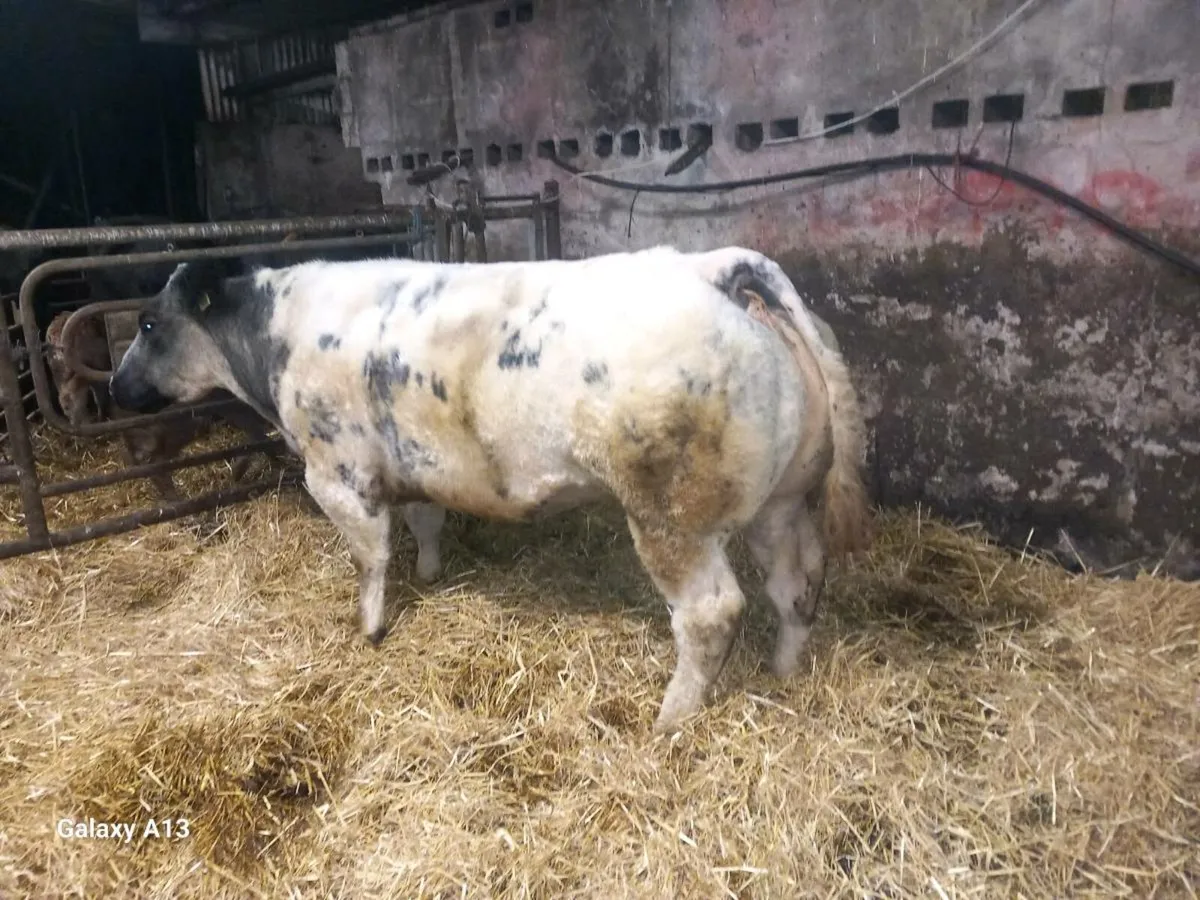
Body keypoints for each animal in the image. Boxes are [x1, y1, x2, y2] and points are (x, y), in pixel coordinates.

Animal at [107, 245, 872, 733]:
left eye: (147, 322)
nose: (116, 387)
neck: (274, 338)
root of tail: (711, 267)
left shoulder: (338, 472)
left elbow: (370, 555)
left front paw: (371, 628)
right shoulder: (412, 461)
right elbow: (423, 524)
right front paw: (431, 574)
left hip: (671, 517)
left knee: (711, 612)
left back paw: (671, 719)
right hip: (781, 502)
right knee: (796, 584)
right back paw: (782, 670)